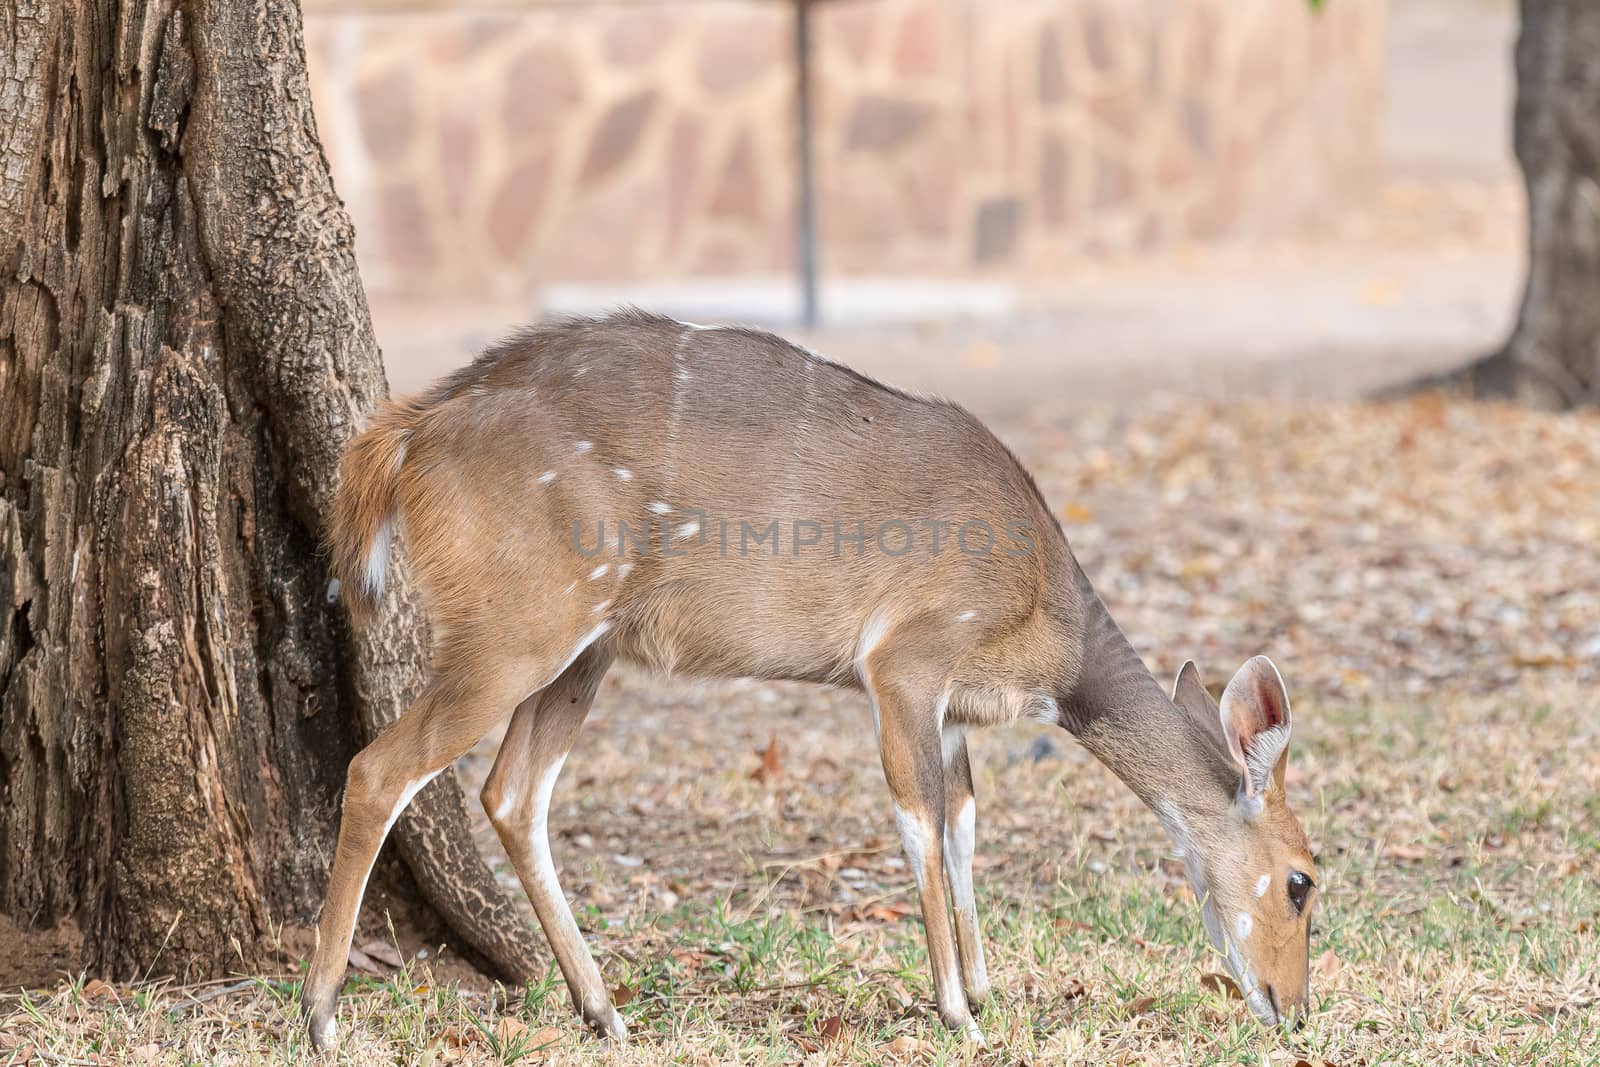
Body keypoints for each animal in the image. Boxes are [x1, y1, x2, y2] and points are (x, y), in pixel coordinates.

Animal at [305, 310, 1318, 1049]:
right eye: (1305, 881)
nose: (1295, 1007)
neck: (1047, 628)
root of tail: (406, 434)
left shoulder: (953, 704)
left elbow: (963, 820)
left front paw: (988, 990)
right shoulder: (904, 659)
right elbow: (918, 821)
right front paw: (959, 1012)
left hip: (586, 646)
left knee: (512, 793)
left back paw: (606, 1012)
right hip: (519, 629)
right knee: (380, 768)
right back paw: (321, 1016)